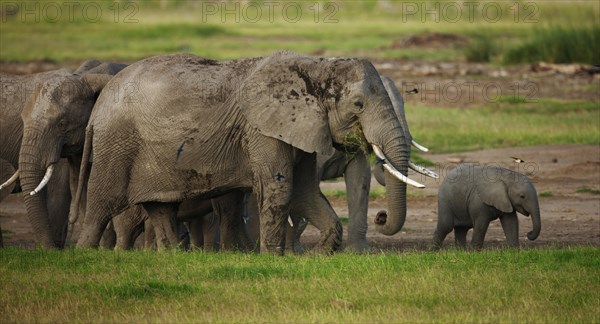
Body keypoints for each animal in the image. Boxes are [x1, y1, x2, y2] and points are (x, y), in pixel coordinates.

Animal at [75, 52, 422, 254]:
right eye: (358, 104)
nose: (381, 216)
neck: (315, 67)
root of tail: (98, 107)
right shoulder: (262, 128)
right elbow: (281, 187)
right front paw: (274, 258)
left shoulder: (302, 126)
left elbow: (306, 191)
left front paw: (320, 253)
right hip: (116, 144)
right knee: (102, 202)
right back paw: (85, 256)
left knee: (160, 207)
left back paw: (173, 256)